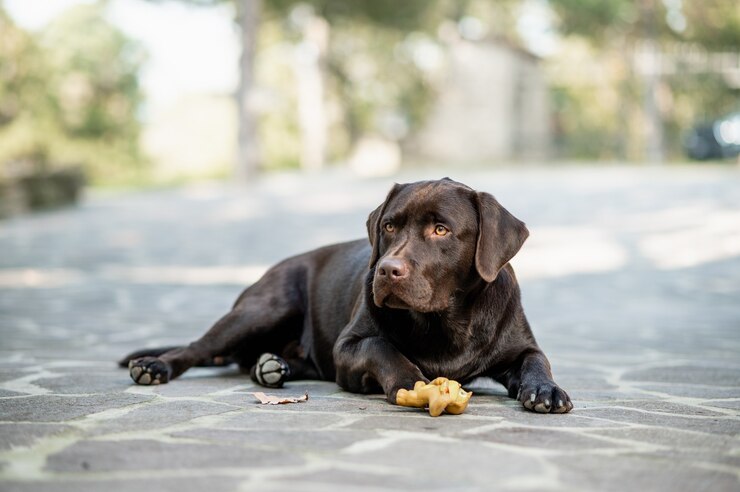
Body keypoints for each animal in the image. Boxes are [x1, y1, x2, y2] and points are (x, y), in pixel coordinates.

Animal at [120, 179, 572, 414]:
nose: (387, 269)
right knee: (197, 347)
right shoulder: (349, 347)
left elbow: (538, 361)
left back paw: (272, 366)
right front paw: (410, 380)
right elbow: (381, 347)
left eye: (441, 230)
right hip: (264, 307)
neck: (446, 322)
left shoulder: (520, 346)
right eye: (389, 226)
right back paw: (155, 366)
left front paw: (546, 391)